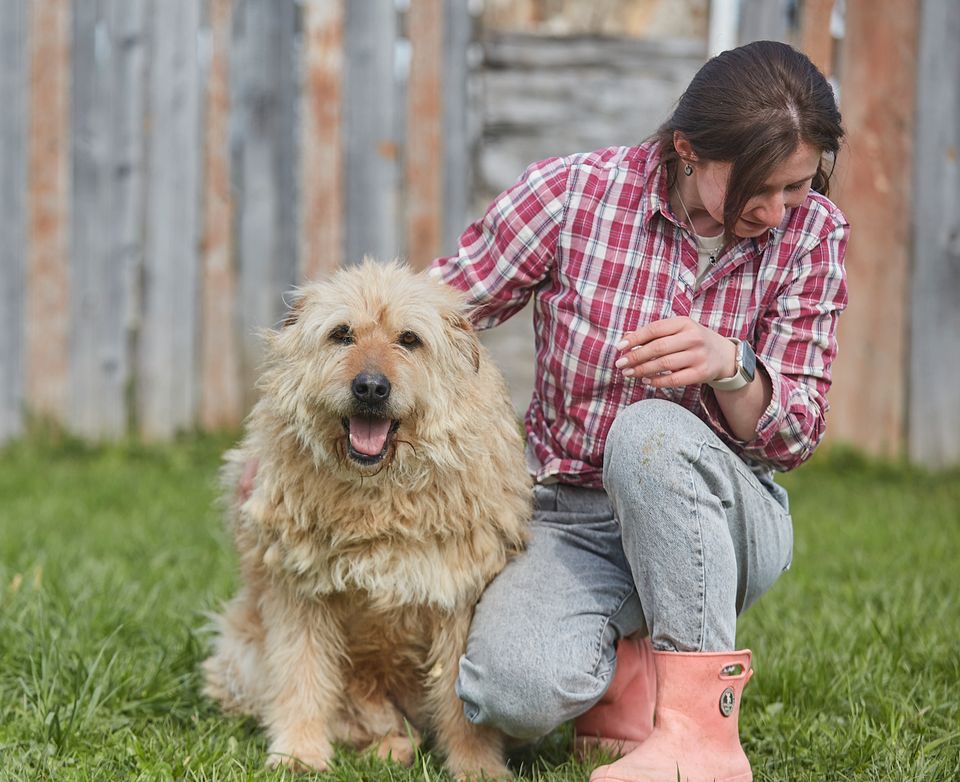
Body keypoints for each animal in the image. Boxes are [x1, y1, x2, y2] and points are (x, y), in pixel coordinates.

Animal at [202, 262, 532, 776]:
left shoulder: (457, 596)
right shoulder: (300, 592)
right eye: (342, 334)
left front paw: (477, 766)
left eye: (409, 339)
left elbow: (460, 703)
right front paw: (298, 753)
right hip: (243, 652)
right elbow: (301, 676)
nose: (372, 388)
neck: (379, 492)